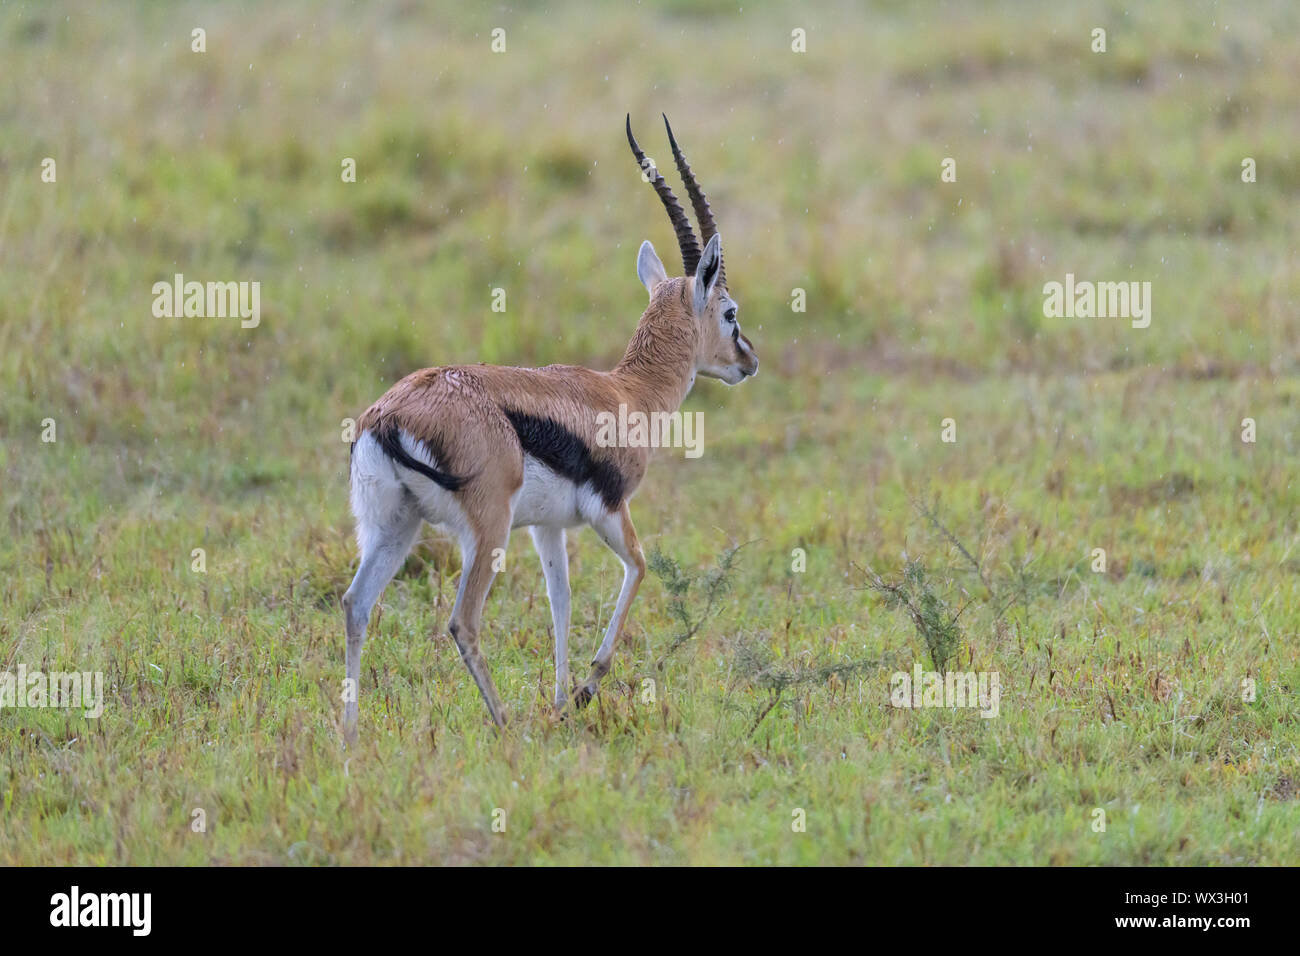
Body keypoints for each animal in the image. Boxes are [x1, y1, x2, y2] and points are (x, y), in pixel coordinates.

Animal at [342, 115, 758, 738]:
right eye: (729, 311)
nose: (749, 361)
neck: (626, 393)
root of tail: (390, 416)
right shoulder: (610, 510)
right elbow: (639, 568)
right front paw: (586, 689)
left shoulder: (548, 527)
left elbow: (559, 600)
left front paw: (562, 702)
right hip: (484, 532)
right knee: (462, 622)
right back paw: (504, 724)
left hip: (394, 525)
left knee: (355, 604)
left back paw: (348, 736)